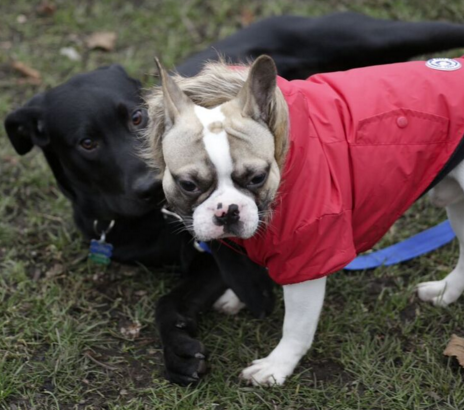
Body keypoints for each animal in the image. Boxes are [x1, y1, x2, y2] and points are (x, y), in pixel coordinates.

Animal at [7, 12, 464, 384]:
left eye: (257, 176)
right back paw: (445, 293)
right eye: (187, 184)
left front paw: (276, 367)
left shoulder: (307, 257)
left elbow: (296, 324)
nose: (227, 210)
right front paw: (234, 296)